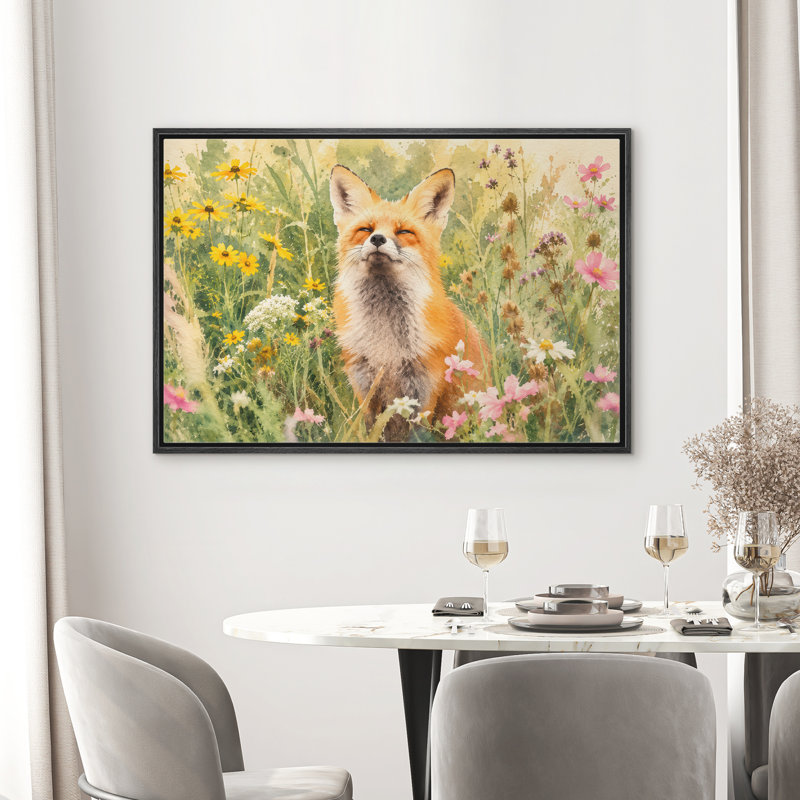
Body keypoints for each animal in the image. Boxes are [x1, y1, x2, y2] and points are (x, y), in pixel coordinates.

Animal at [329, 164, 488, 442]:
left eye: (404, 232)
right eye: (366, 230)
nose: (378, 239)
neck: (386, 345)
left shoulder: (424, 389)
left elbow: (418, 434)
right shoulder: (365, 388)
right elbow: (371, 432)